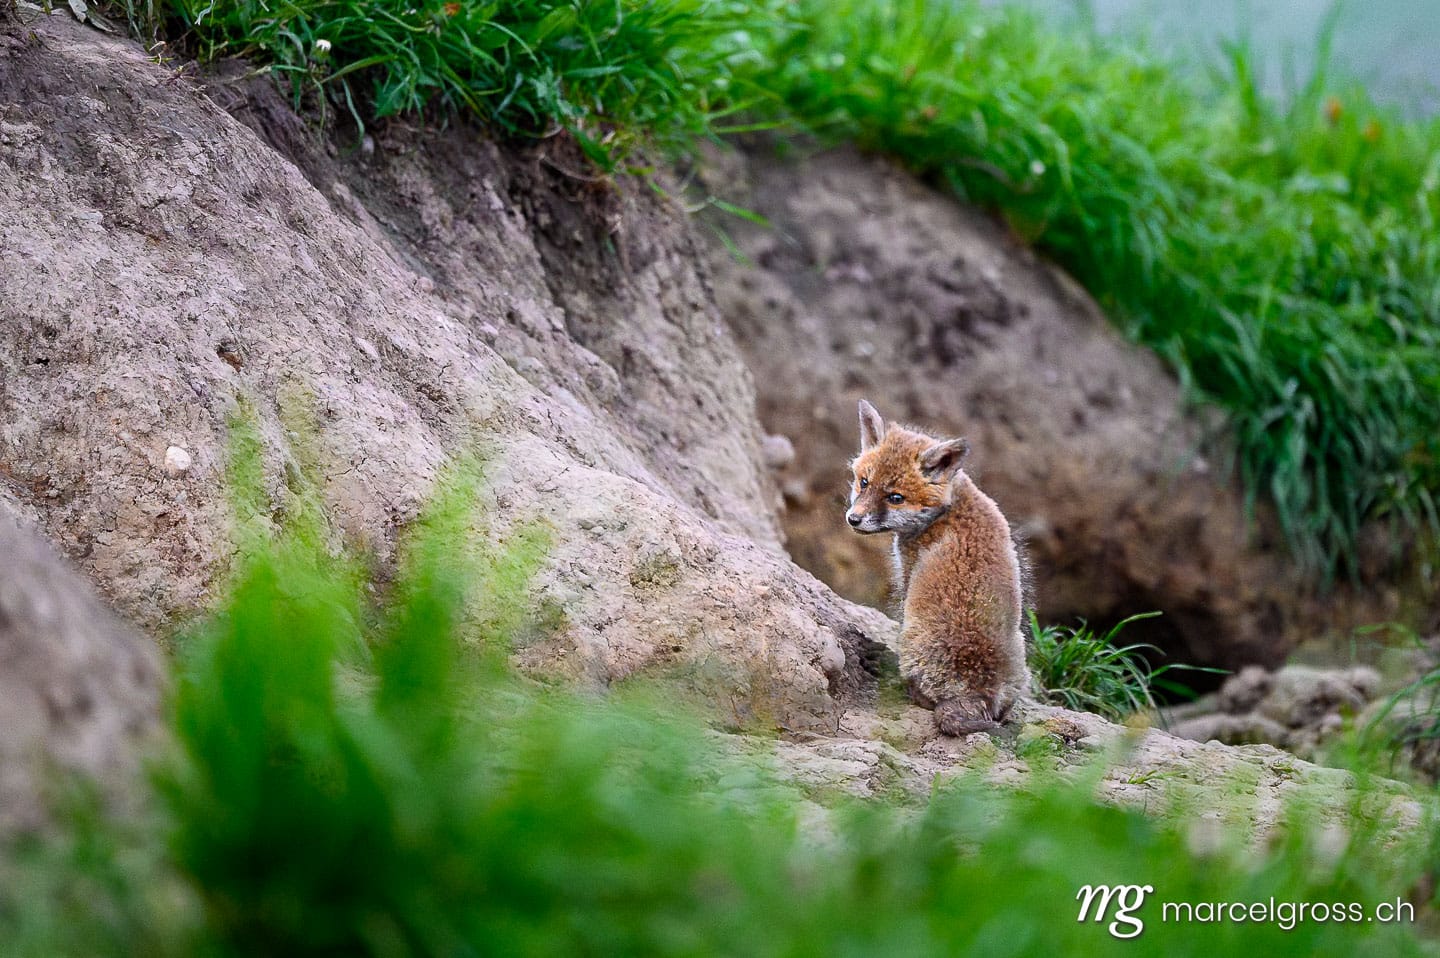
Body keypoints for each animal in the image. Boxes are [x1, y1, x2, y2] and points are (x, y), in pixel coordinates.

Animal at [846, 400, 1030, 735]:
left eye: (895, 497)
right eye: (864, 482)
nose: (854, 519)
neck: (948, 508)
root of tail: (978, 692)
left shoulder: (908, 576)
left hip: (914, 638)